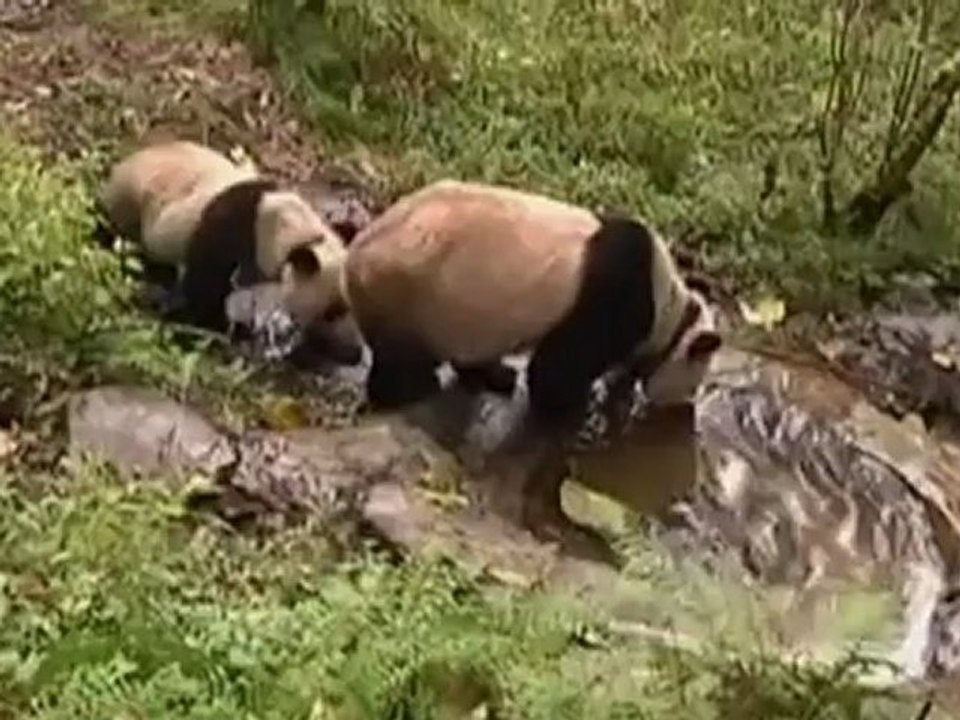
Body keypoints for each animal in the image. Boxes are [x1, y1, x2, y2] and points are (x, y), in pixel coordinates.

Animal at [96, 140, 363, 364]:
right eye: (331, 313)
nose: (355, 354)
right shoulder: (230, 234)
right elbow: (203, 288)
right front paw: (200, 331)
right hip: (132, 205)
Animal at [342, 179, 722, 431]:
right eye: (694, 384)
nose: (685, 410)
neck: (670, 308)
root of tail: (355, 255)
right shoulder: (616, 297)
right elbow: (559, 367)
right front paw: (576, 409)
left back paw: (493, 376)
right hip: (403, 289)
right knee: (400, 357)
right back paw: (413, 387)